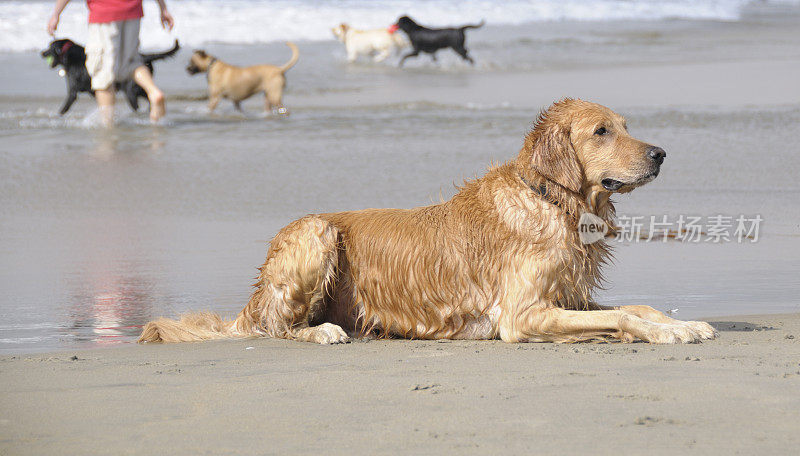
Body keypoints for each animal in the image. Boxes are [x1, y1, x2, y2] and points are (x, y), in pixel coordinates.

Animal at [41, 38, 180, 116]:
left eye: (49, 47)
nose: (42, 53)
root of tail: (144, 57)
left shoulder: (73, 91)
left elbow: (64, 107)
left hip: (131, 91)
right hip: (138, 89)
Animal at [139, 98, 720, 344]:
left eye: (626, 125)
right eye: (602, 131)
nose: (661, 154)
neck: (552, 201)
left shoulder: (567, 297)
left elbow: (638, 306)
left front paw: (683, 322)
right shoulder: (521, 315)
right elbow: (624, 315)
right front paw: (669, 333)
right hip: (315, 232)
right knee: (279, 328)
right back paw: (324, 332)